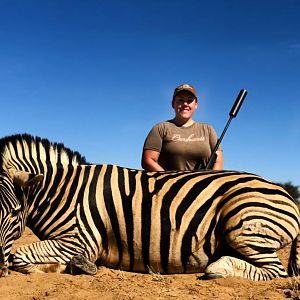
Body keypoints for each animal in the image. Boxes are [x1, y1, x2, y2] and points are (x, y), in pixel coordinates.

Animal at [0, 132, 298, 280]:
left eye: (14, 212)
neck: (65, 192)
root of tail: (284, 192)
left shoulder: (80, 240)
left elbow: (19, 256)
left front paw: (72, 267)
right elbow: (21, 256)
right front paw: (73, 267)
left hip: (242, 225)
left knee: (276, 271)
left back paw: (218, 269)